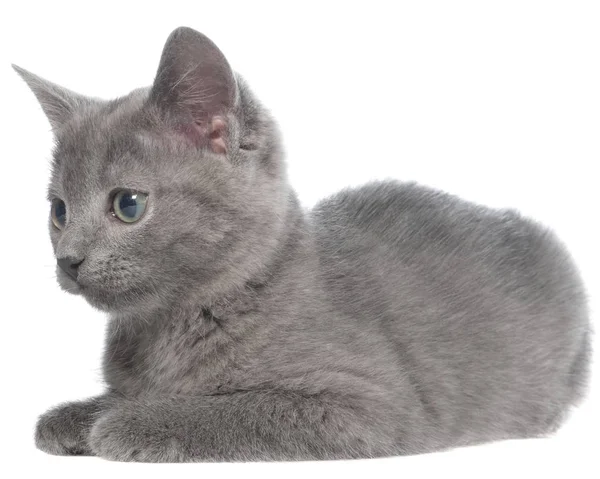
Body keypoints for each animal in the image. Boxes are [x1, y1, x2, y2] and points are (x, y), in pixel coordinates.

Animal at [14, 28, 592, 464]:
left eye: (128, 205)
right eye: (59, 211)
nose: (68, 259)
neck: (171, 326)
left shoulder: (370, 406)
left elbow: (232, 408)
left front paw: (130, 422)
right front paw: (78, 414)